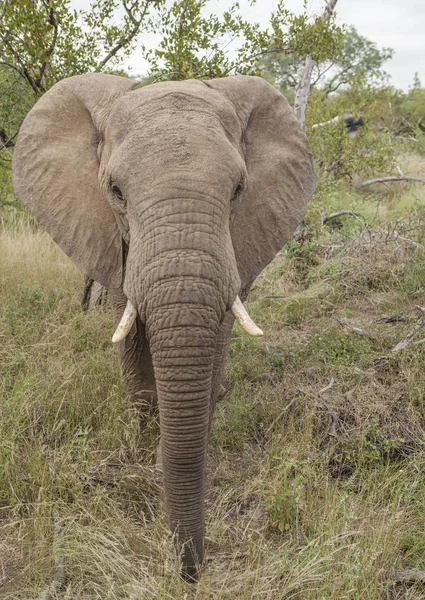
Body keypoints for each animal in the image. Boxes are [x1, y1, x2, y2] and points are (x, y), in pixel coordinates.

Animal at [12, 72, 314, 580]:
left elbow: (217, 342)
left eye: (239, 189)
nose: (190, 572)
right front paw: (143, 449)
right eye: (115, 191)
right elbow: (132, 339)